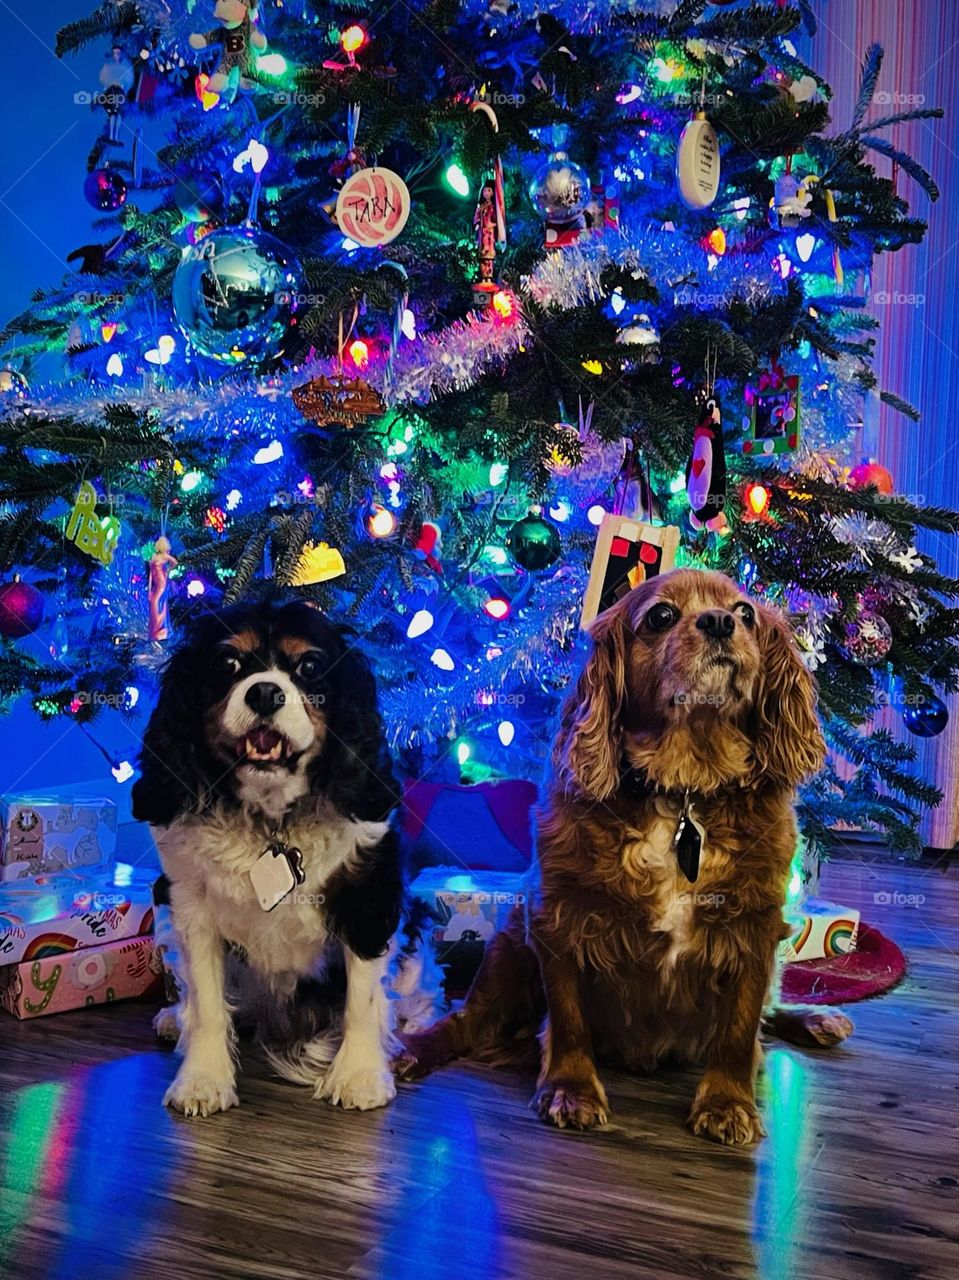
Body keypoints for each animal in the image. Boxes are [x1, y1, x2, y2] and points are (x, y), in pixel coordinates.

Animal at [131, 599, 422, 1111]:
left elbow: (363, 998)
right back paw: (175, 1017)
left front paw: (360, 1075)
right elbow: (207, 1001)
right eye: (228, 664)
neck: (272, 821)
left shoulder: (370, 897)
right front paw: (203, 1078)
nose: (265, 693)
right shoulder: (189, 906)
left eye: (308, 667)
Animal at [399, 570, 850, 1141]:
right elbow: (568, 1020)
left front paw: (726, 1103)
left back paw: (815, 1019)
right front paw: (570, 1089)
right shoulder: (559, 919)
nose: (720, 622)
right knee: (465, 1021)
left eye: (745, 612)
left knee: (769, 1012)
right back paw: (412, 1050)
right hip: (506, 953)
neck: (684, 788)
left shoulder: (754, 928)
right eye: (660, 616)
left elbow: (739, 1029)